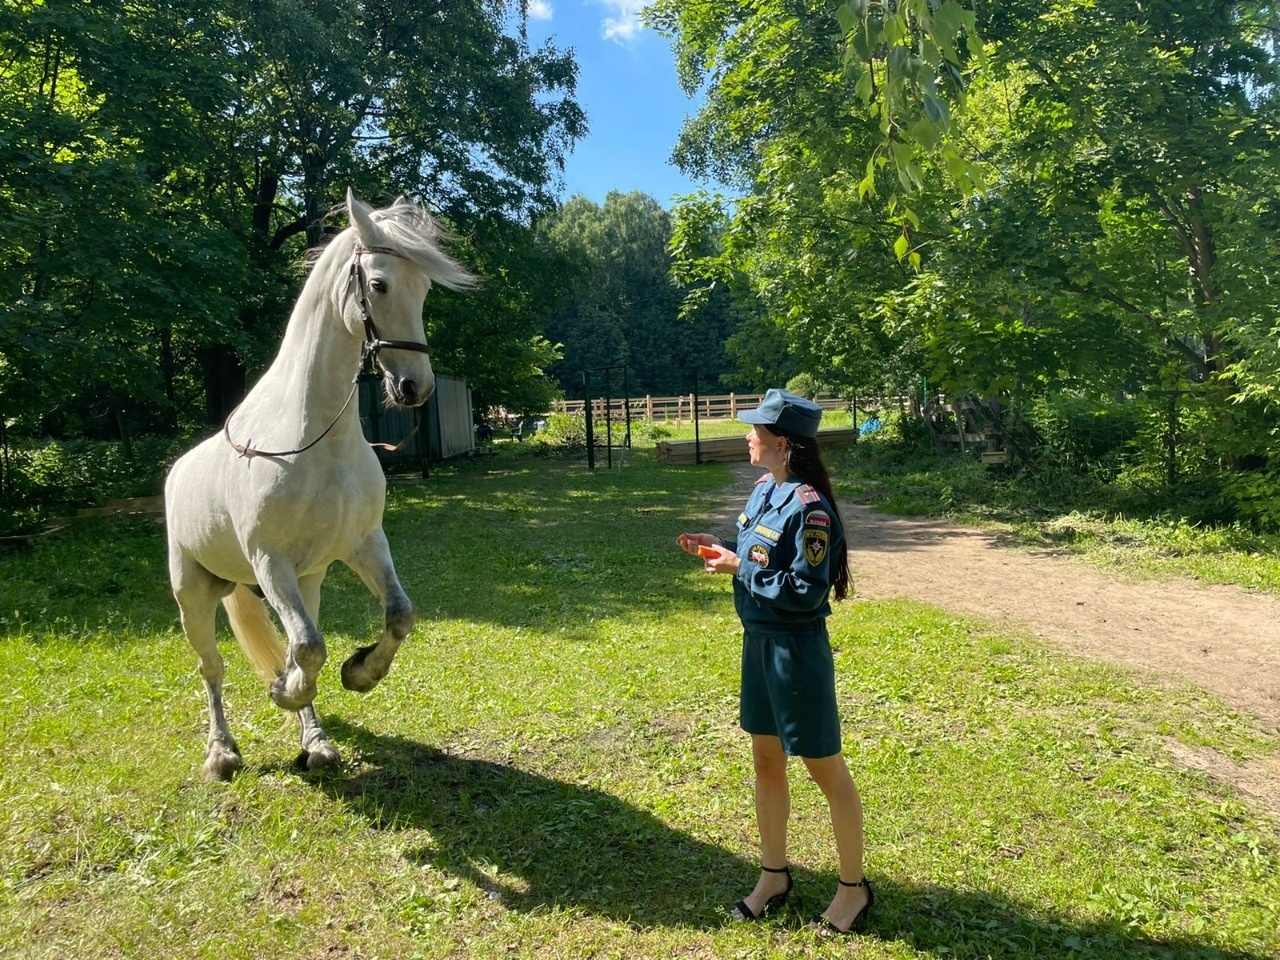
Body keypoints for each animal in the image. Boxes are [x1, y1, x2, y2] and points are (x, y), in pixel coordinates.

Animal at [165, 189, 473, 783]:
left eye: (425, 288)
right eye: (378, 284)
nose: (415, 387)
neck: (311, 440)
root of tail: (177, 472)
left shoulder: (362, 544)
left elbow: (396, 616)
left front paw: (359, 673)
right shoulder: (270, 562)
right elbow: (307, 649)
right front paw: (283, 692)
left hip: (306, 581)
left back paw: (317, 743)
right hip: (194, 594)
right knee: (212, 667)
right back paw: (222, 752)